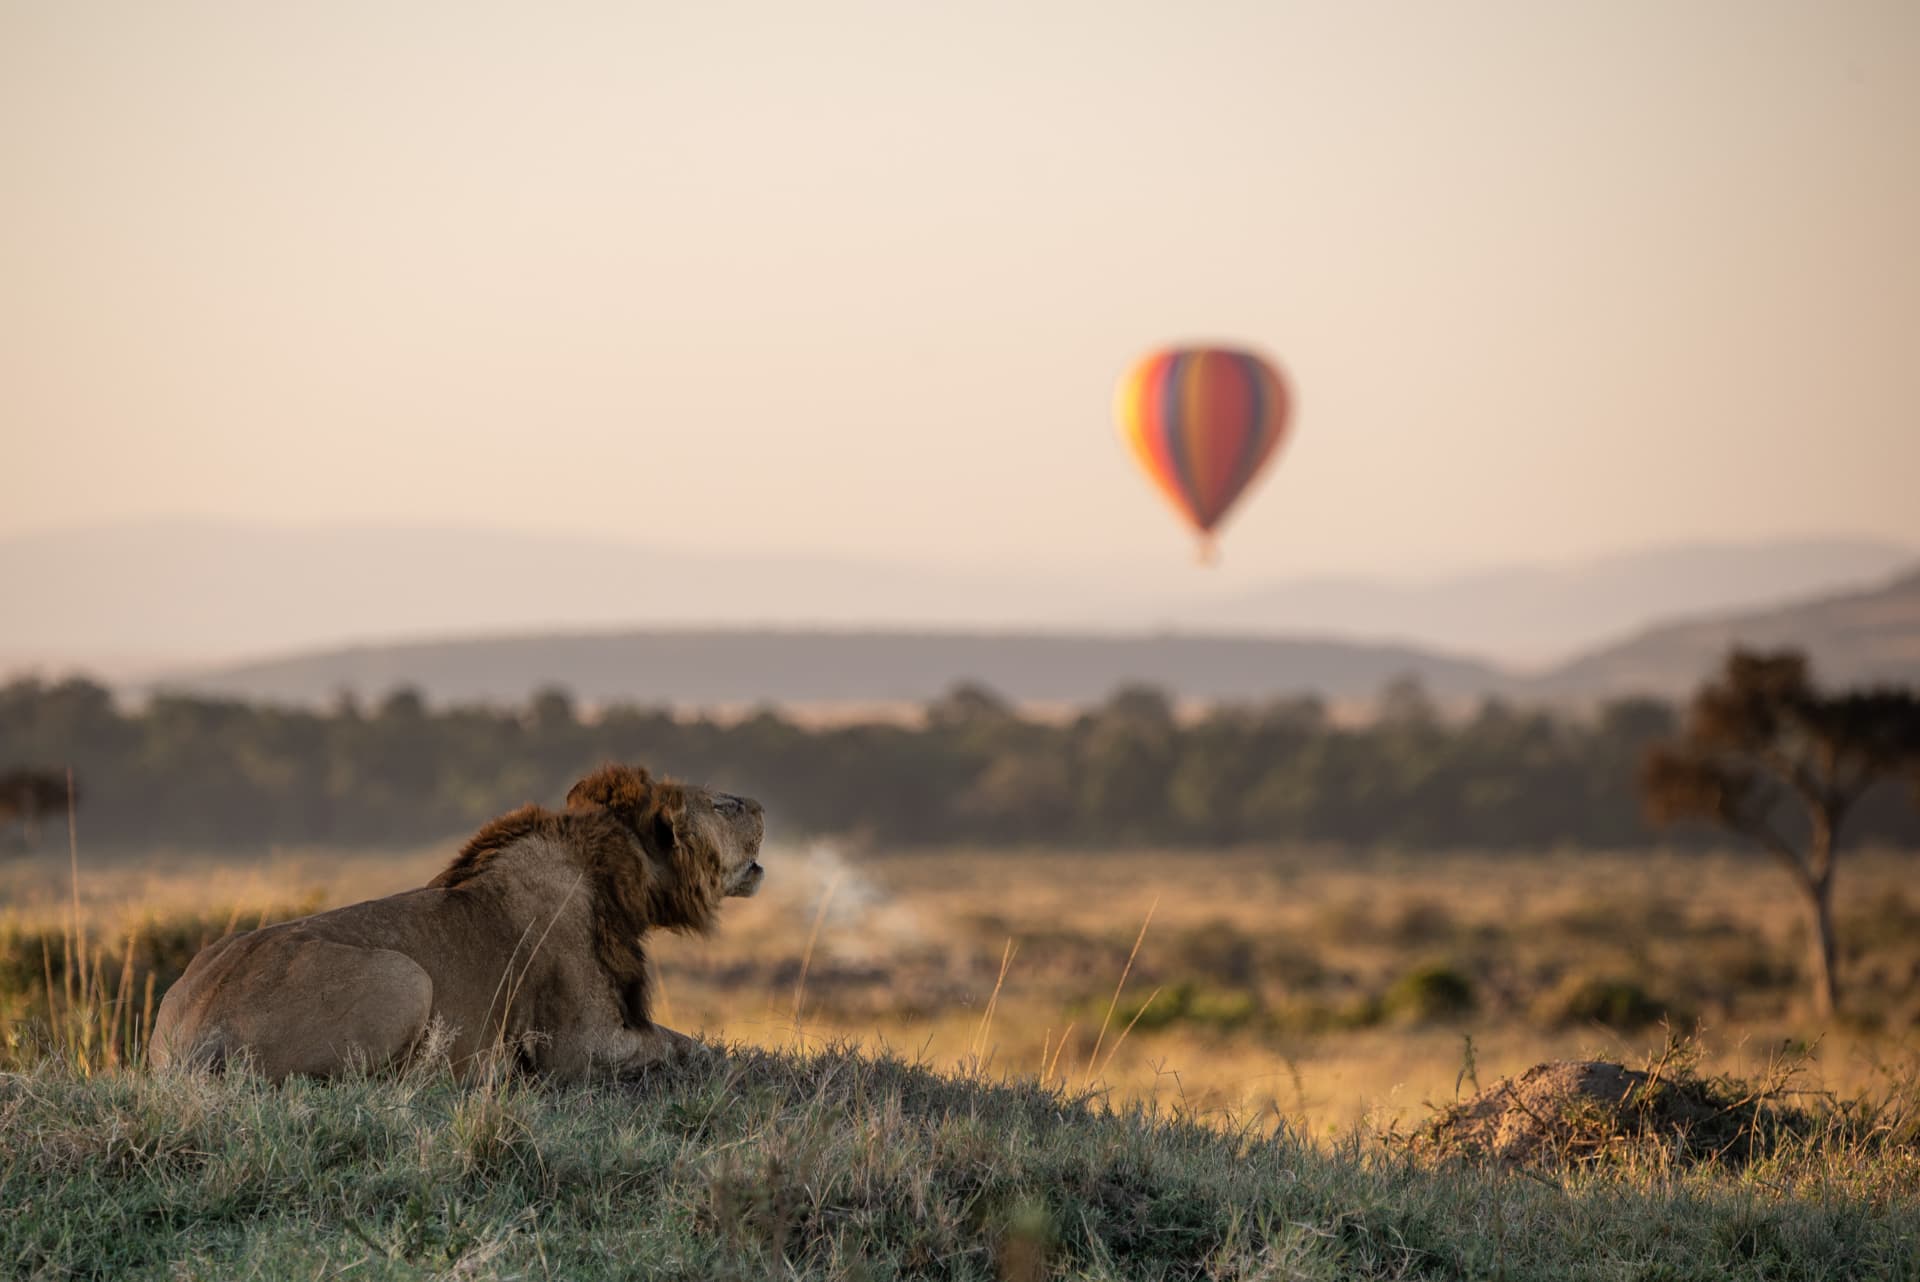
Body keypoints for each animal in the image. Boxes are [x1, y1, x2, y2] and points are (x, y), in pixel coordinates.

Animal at [150, 763, 764, 1082]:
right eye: (723, 805)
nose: (760, 805)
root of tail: (194, 1029)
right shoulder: (579, 1048)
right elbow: (686, 1046)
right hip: (406, 978)